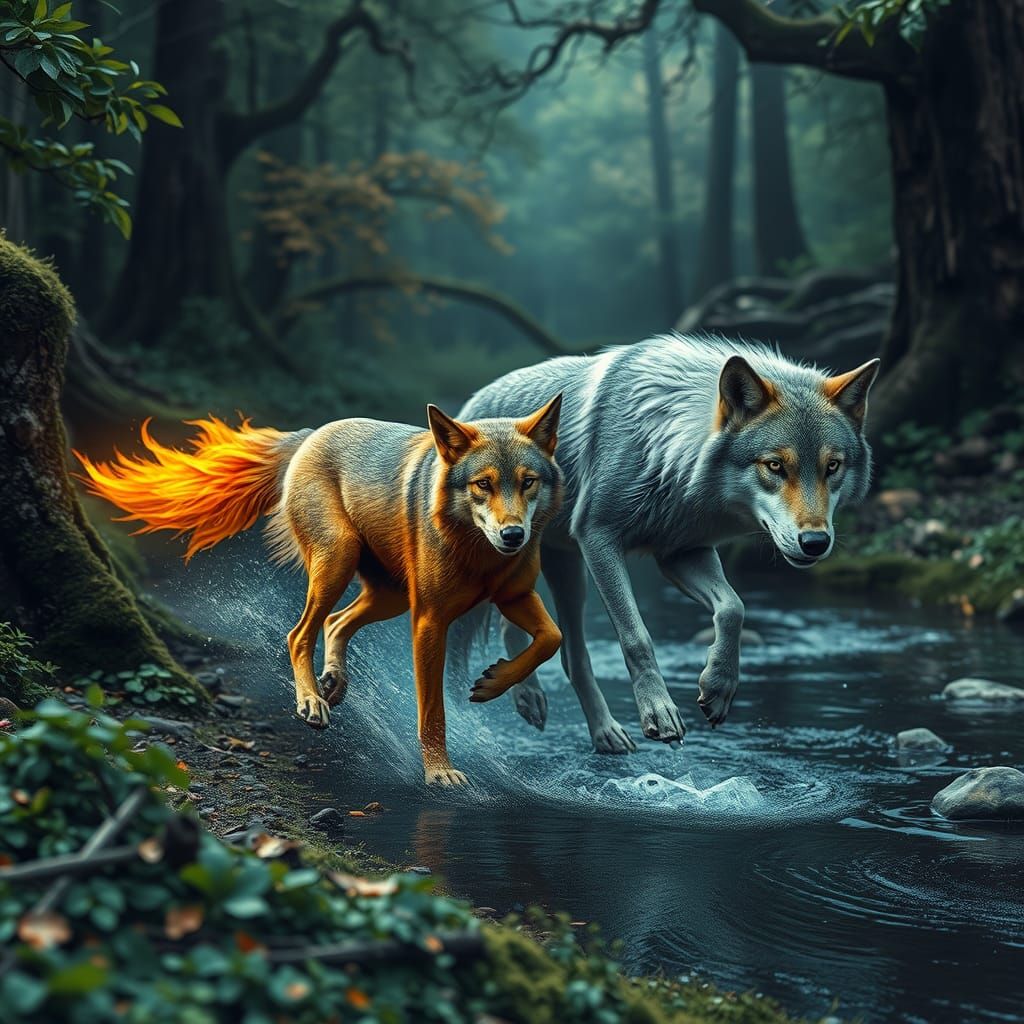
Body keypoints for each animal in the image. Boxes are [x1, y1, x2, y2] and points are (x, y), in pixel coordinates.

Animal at [75, 398, 564, 785]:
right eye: (483, 484)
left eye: (527, 482)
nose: (513, 535)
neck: (480, 553)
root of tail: (311, 434)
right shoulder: (429, 621)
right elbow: (432, 712)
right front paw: (439, 773)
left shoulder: (515, 597)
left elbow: (551, 639)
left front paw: (491, 684)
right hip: (340, 560)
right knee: (299, 633)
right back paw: (312, 701)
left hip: (386, 594)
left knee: (334, 620)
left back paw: (335, 684)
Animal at [457, 334, 879, 753]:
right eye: (775, 466)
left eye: (832, 467)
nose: (815, 542)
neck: (667, 452)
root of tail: (470, 406)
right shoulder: (599, 538)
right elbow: (637, 637)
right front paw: (659, 712)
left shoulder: (680, 553)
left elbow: (734, 608)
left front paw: (718, 687)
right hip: (568, 571)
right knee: (561, 648)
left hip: (567, 570)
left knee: (545, 643)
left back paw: (588, 726)